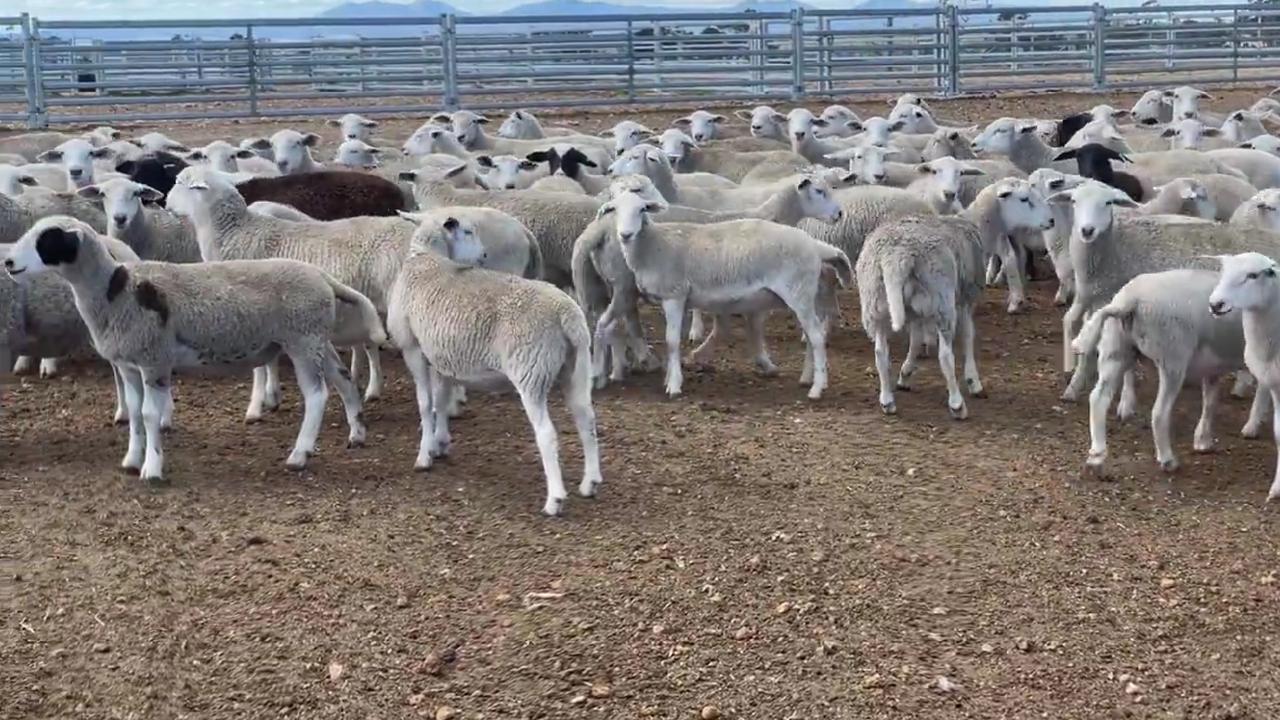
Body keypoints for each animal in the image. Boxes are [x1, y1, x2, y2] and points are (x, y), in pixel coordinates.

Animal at [381, 210, 601, 512]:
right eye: (468, 232)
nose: (484, 255)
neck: (427, 259)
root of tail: (566, 313)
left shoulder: (412, 347)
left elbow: (425, 405)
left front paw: (424, 456)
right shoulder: (440, 354)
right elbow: (440, 401)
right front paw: (440, 443)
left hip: (531, 370)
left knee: (547, 434)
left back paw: (554, 499)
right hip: (576, 368)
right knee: (586, 420)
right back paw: (590, 483)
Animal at [596, 188, 849, 397]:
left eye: (642, 209)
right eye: (614, 210)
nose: (625, 234)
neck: (654, 245)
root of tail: (815, 246)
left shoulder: (674, 295)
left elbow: (672, 341)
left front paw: (674, 385)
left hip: (798, 292)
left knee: (816, 336)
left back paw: (817, 388)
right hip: (801, 295)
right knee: (812, 336)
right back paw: (807, 378)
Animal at [860, 212, 988, 417]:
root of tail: (897, 256)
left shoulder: (915, 313)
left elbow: (916, 341)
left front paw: (905, 375)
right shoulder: (965, 299)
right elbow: (968, 337)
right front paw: (974, 382)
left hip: (874, 302)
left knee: (880, 352)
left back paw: (887, 400)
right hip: (942, 299)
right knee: (945, 356)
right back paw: (957, 404)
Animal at [1070, 266, 1269, 479]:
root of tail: (1129, 300)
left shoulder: (1213, 366)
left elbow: (1211, 401)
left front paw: (1203, 441)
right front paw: (1252, 427)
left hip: (1116, 348)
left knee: (1098, 399)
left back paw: (1096, 458)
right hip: (1172, 356)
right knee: (1159, 412)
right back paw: (1167, 460)